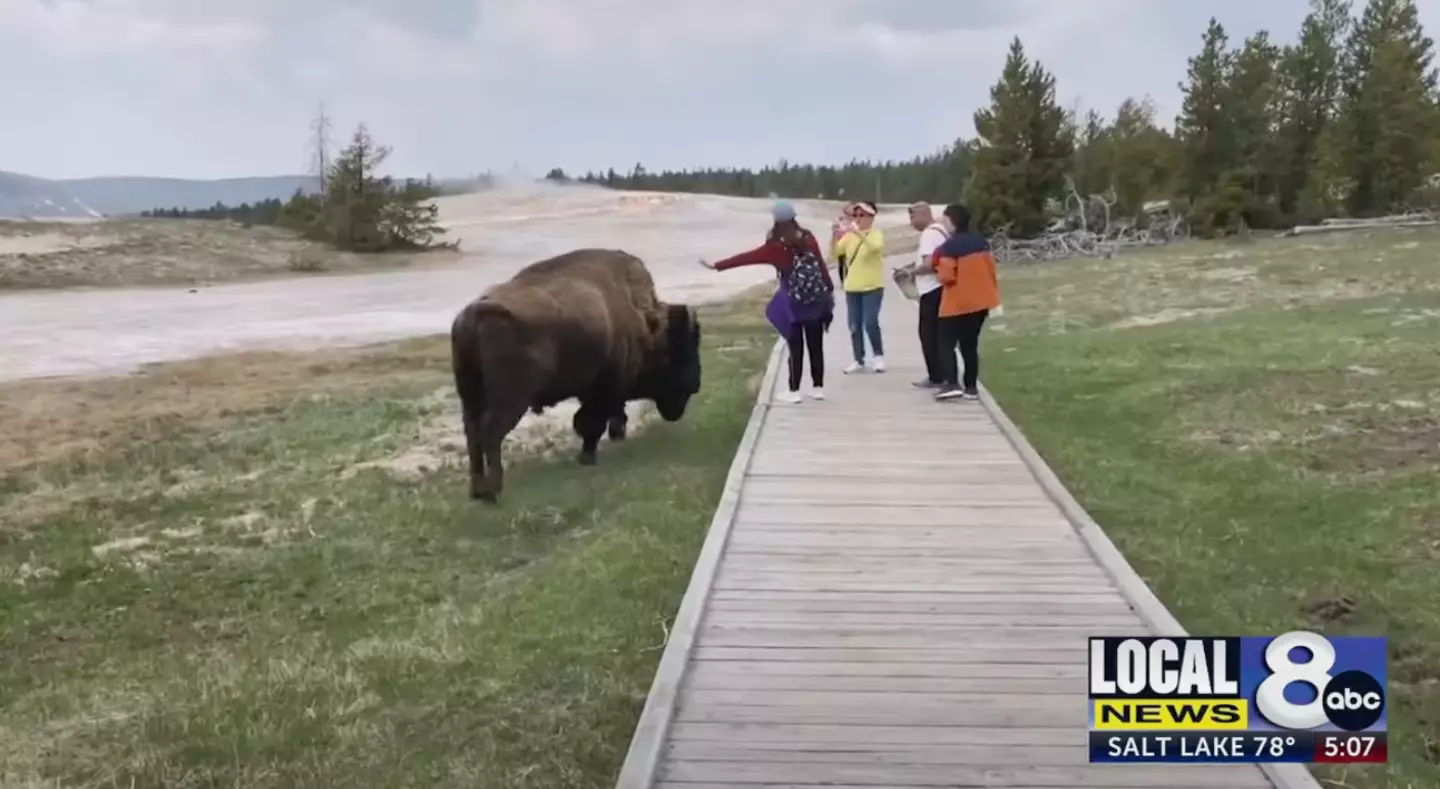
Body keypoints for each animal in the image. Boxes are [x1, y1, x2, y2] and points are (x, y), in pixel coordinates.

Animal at [449, 248, 703, 502]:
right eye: (683, 351)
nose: (696, 384)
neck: (642, 319)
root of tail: (474, 314)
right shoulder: (603, 389)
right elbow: (592, 422)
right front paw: (587, 457)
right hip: (511, 399)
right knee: (490, 432)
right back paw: (493, 491)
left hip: (471, 395)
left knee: (473, 432)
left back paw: (477, 490)